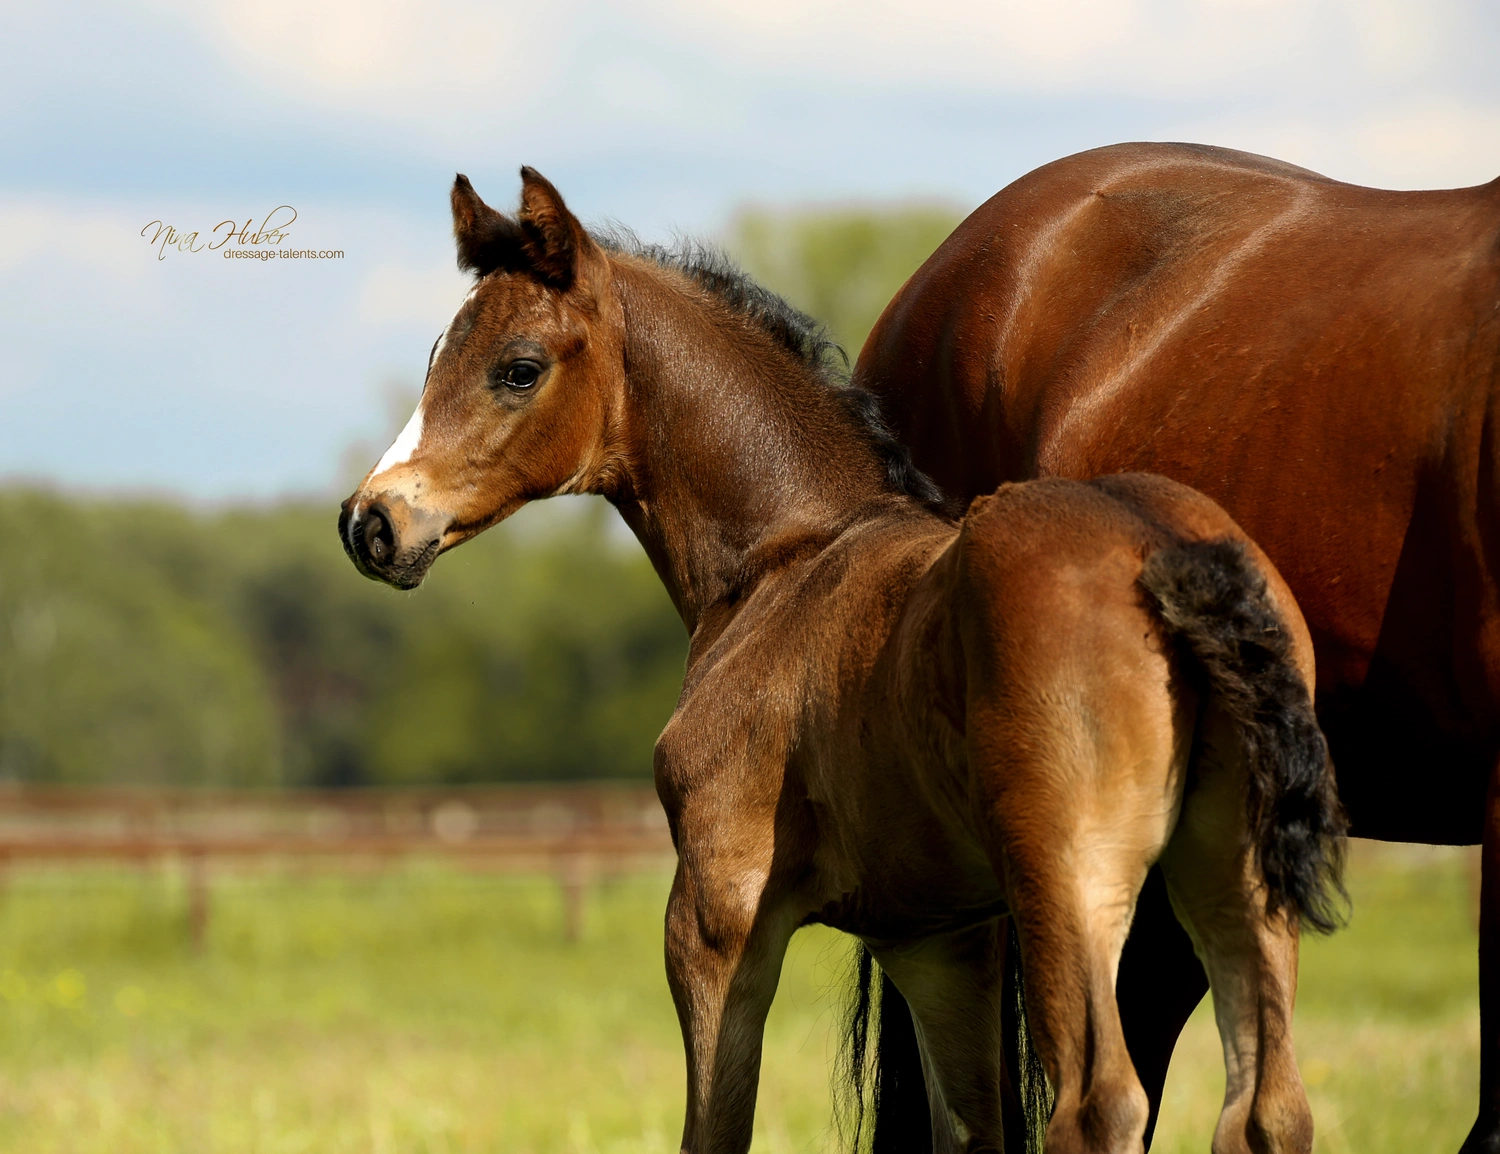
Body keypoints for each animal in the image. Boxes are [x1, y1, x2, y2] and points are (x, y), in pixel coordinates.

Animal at [337, 167, 1345, 1153]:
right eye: (436, 358)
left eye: (519, 369)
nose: (370, 523)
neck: (787, 556)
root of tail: (1166, 550)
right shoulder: (937, 940)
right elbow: (969, 1130)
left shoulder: (717, 911)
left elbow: (717, 1129)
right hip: (1229, 883)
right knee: (1268, 1111)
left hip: (1070, 884)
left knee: (1100, 1108)